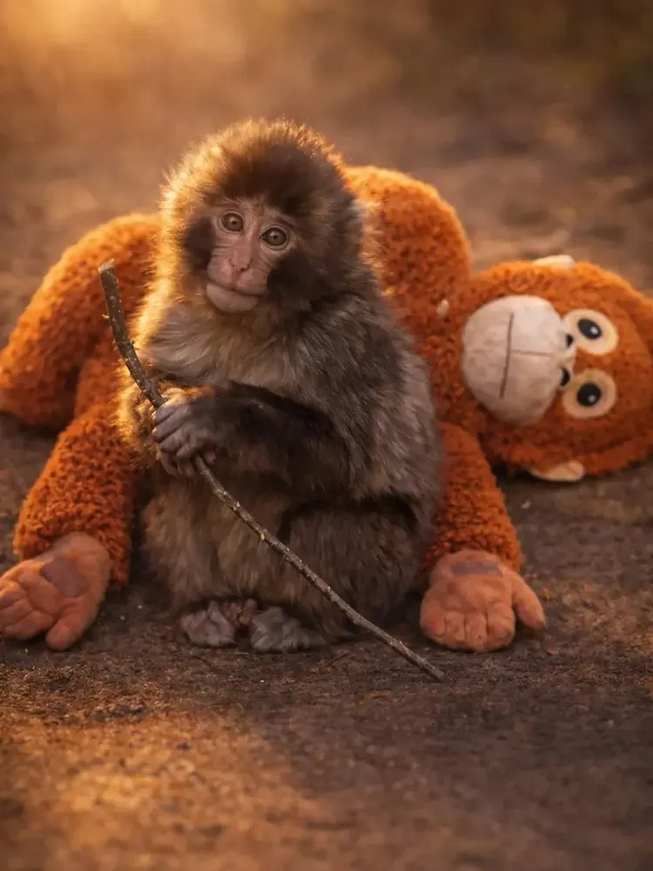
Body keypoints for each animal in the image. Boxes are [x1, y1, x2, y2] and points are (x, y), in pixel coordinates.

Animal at [116, 118, 441, 653]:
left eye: (274, 237)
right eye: (232, 223)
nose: (240, 265)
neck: (250, 325)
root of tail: (250, 593)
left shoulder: (345, 338)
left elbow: (345, 460)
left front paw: (213, 417)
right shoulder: (167, 310)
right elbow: (139, 396)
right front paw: (158, 418)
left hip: (387, 570)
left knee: (331, 524)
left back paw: (307, 620)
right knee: (179, 491)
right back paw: (205, 606)